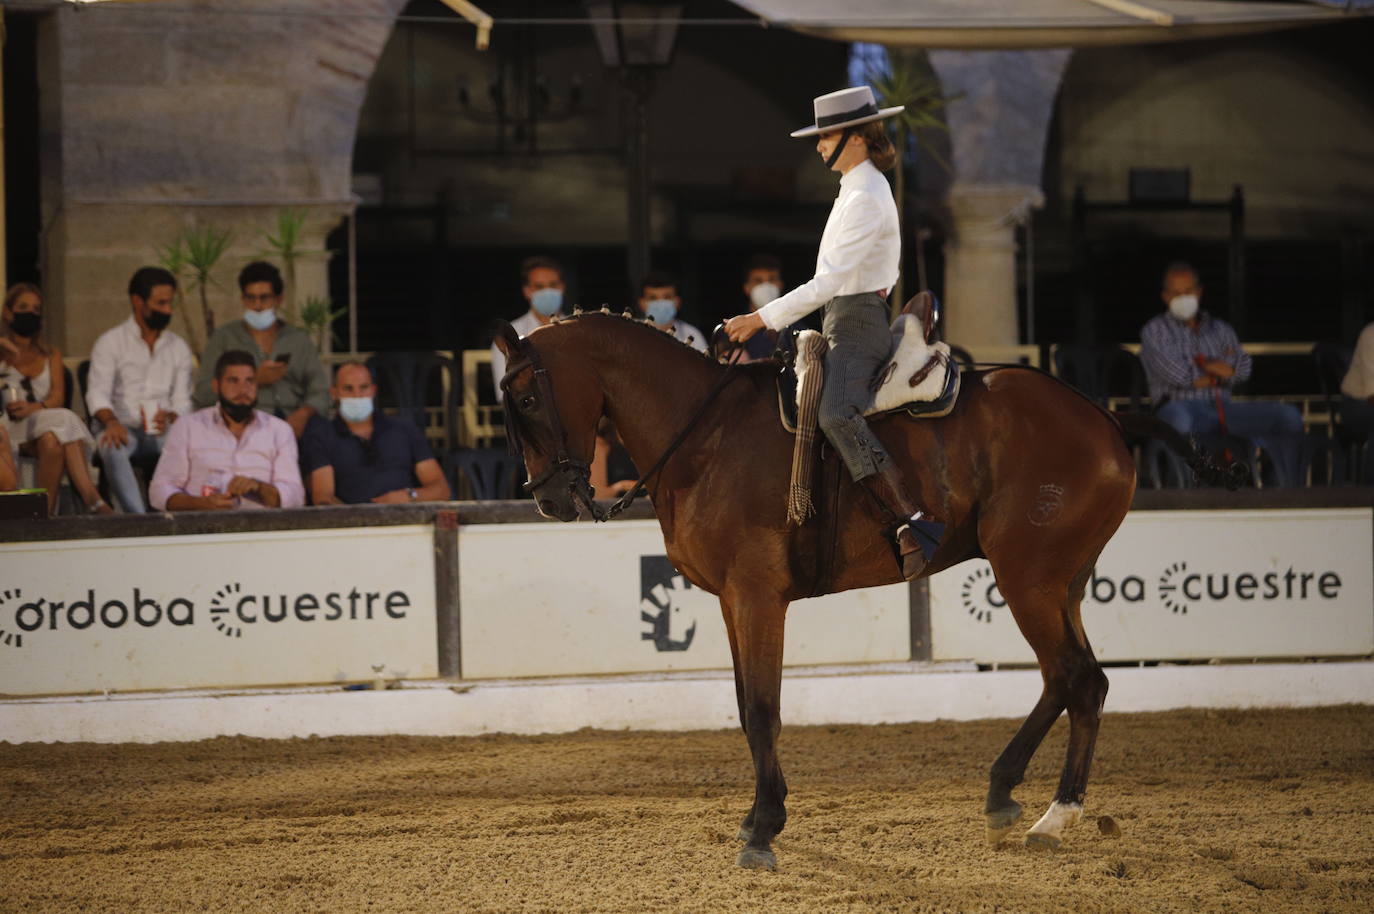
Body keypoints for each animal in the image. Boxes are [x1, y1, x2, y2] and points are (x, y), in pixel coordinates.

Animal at [494, 311, 1137, 868]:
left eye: (526, 400)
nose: (548, 500)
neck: (706, 438)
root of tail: (1104, 422)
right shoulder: (731, 602)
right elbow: (744, 706)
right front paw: (761, 815)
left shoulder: (756, 597)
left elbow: (762, 712)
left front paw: (762, 830)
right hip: (1061, 585)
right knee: (1067, 679)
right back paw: (1004, 791)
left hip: (1028, 579)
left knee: (1079, 680)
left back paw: (1056, 817)